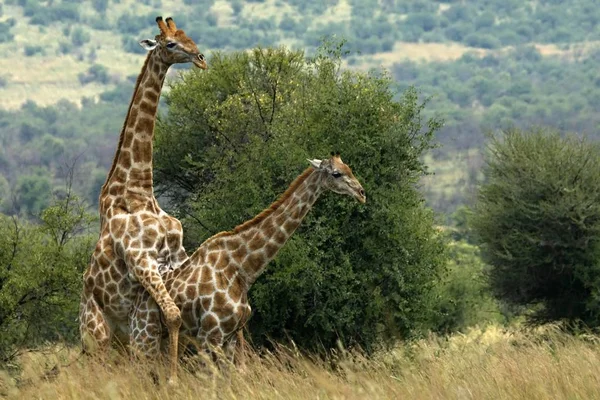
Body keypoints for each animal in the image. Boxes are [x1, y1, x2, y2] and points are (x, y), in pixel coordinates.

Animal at [79, 17, 206, 382]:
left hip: (128, 329)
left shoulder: (175, 258)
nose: (201, 58)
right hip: (97, 330)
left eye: (188, 36)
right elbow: (175, 315)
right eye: (170, 44)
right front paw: (174, 378)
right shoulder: (142, 261)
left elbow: (177, 316)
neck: (138, 188)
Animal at [130, 152, 366, 366]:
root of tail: (136, 301)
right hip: (144, 335)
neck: (242, 268)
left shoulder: (231, 336)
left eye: (348, 168)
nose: (362, 193)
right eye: (336, 173)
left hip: (164, 340)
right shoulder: (210, 335)